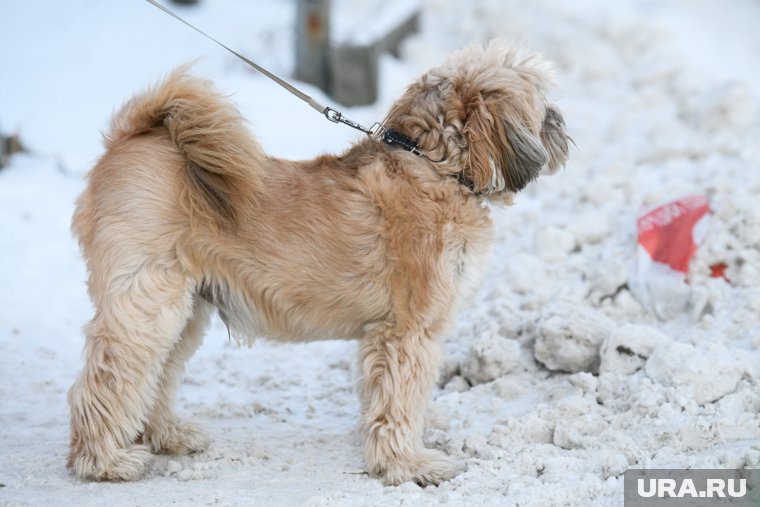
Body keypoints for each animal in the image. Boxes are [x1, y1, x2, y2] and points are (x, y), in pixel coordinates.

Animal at [68, 43, 568, 488]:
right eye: (542, 102)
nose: (561, 123)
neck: (432, 167)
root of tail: (132, 137)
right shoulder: (407, 332)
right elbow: (400, 401)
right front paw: (408, 464)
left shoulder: (382, 336)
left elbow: (382, 397)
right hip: (147, 303)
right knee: (105, 381)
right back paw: (104, 461)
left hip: (186, 311)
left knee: (155, 376)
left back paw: (167, 436)